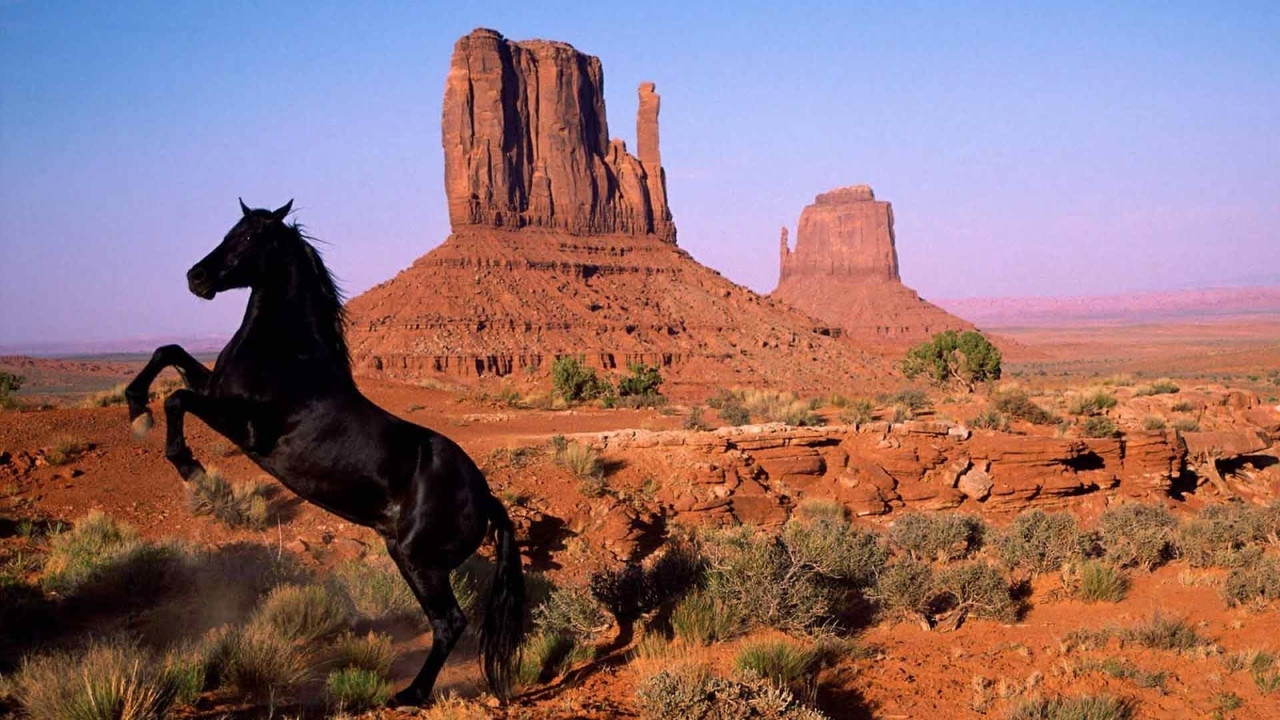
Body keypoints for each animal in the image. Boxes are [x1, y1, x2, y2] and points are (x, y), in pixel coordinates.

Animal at [123, 200, 524, 706]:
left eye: (251, 237)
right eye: (231, 229)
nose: (196, 277)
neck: (286, 357)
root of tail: (487, 498)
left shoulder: (248, 429)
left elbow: (177, 399)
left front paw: (186, 464)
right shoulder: (215, 390)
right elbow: (168, 352)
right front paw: (135, 406)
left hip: (420, 560)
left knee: (449, 623)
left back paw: (408, 695)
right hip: (408, 555)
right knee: (444, 623)